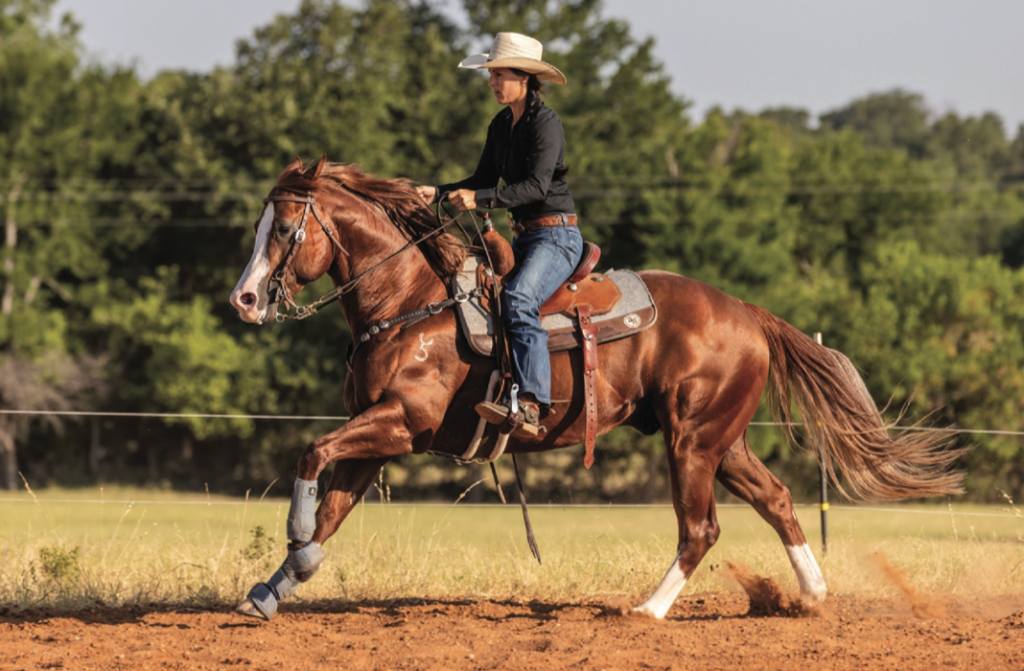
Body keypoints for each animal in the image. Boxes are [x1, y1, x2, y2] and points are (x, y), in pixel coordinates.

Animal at [228, 156, 963, 620]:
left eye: (286, 227)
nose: (244, 299)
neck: (412, 302)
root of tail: (749, 313)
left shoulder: (401, 422)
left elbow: (311, 455)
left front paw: (293, 535)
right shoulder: (379, 436)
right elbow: (334, 504)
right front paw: (276, 585)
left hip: (693, 442)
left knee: (701, 527)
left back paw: (648, 609)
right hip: (721, 441)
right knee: (777, 498)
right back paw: (810, 594)